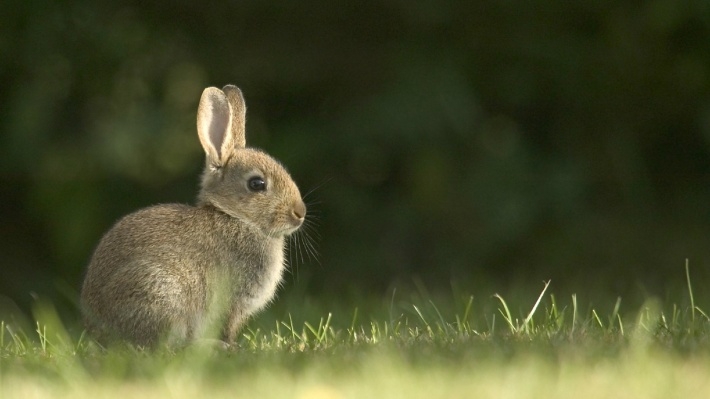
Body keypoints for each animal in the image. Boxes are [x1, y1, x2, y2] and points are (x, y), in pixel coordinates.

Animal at [80, 85, 306, 350]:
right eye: (257, 184)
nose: (300, 213)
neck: (235, 217)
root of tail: (99, 333)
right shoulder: (233, 302)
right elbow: (227, 327)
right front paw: (231, 346)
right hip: (161, 293)